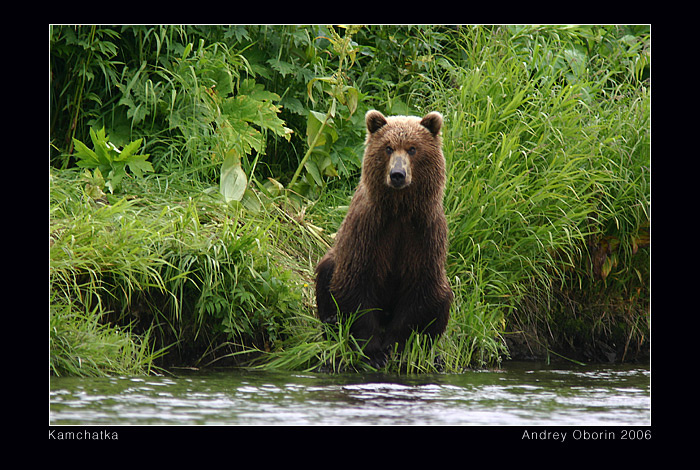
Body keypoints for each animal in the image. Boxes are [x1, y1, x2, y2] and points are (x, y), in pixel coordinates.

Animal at [315, 109, 453, 367]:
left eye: (412, 148)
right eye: (388, 148)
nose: (397, 174)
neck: (399, 210)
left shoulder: (423, 234)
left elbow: (419, 293)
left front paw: (395, 348)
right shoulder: (369, 230)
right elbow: (357, 285)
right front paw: (373, 352)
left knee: (442, 297)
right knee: (327, 273)